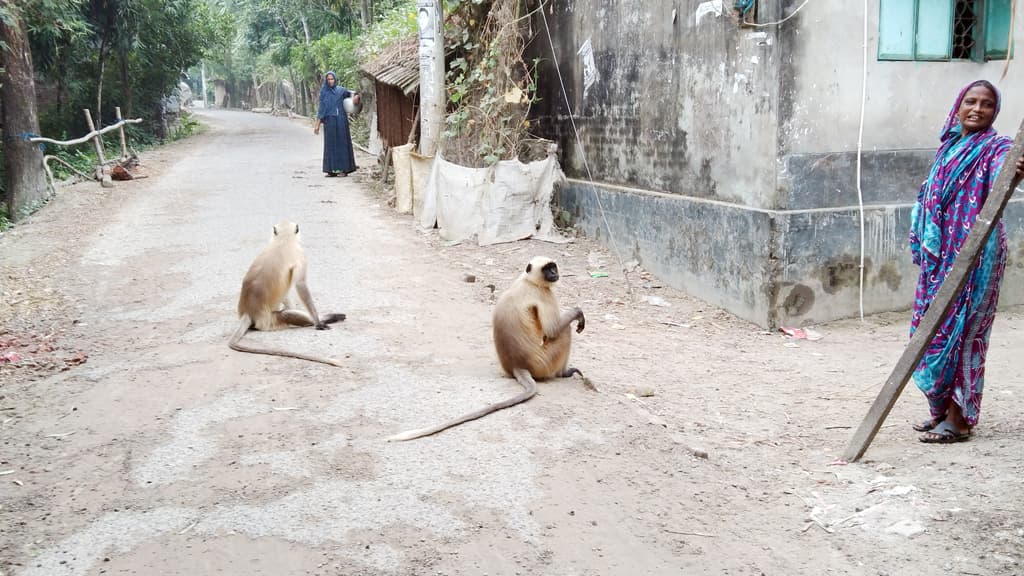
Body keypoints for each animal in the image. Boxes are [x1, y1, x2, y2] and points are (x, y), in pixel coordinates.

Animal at [229, 218, 348, 362]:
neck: (283, 241)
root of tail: (248, 313)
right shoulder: (301, 255)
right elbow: (300, 285)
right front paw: (318, 322)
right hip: (270, 321)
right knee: (288, 314)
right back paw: (326, 318)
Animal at [387, 255, 585, 438]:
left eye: (553, 267)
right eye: (547, 269)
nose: (554, 273)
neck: (527, 280)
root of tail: (517, 365)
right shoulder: (543, 293)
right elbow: (552, 330)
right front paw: (578, 313)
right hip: (545, 363)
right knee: (565, 332)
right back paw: (563, 373)